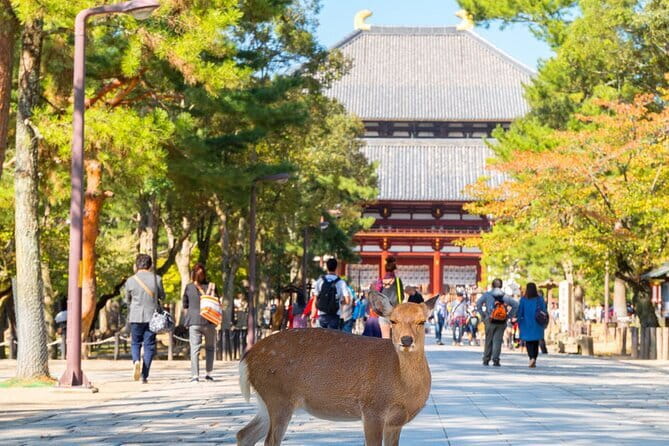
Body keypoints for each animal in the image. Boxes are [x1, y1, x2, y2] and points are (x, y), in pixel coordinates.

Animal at [237, 291, 438, 446]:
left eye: (422, 321)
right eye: (393, 321)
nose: (406, 340)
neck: (402, 389)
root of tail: (247, 359)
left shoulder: (395, 422)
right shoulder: (372, 409)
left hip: (267, 401)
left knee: (244, 433)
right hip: (277, 396)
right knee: (269, 440)